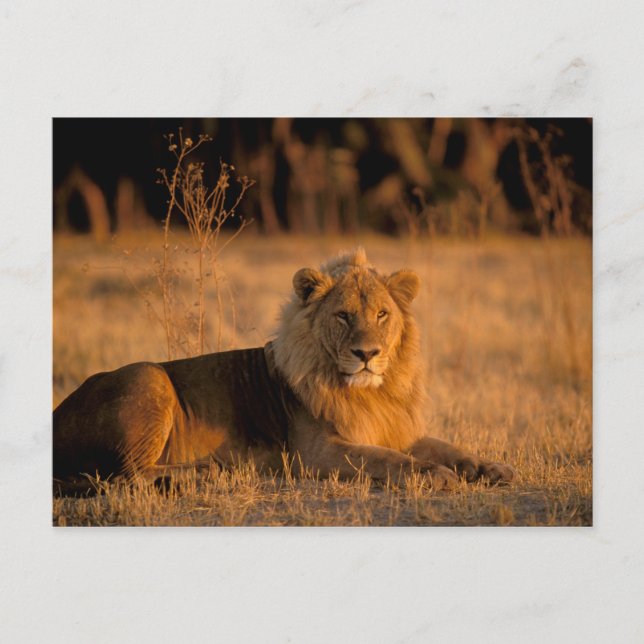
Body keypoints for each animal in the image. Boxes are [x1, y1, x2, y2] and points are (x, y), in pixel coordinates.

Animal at [53, 248, 515, 494]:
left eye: (382, 314)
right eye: (343, 316)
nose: (367, 353)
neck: (371, 392)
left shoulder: (394, 427)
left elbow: (447, 447)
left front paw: (490, 468)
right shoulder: (316, 452)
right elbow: (388, 459)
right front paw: (435, 475)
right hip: (150, 377)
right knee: (123, 476)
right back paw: (205, 471)